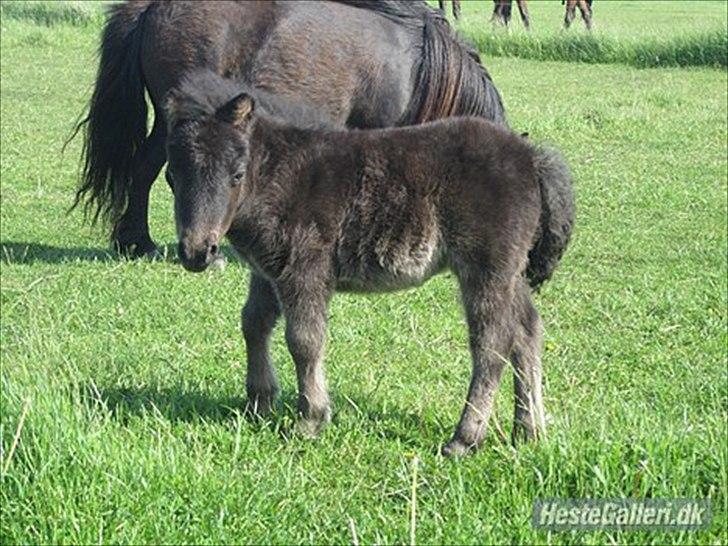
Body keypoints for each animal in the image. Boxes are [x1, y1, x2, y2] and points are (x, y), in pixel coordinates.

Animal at [165, 72, 576, 454]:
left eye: (236, 174)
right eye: (170, 176)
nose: (197, 252)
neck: (278, 176)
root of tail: (530, 157)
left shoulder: (304, 269)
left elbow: (304, 340)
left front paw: (310, 419)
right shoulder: (266, 271)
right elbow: (254, 323)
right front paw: (258, 402)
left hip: (485, 268)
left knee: (492, 343)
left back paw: (465, 438)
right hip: (511, 273)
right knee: (527, 332)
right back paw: (529, 429)